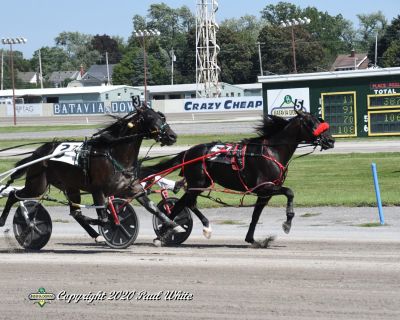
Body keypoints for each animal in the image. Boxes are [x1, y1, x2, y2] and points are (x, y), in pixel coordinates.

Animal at [0, 104, 184, 244]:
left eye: (162, 117)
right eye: (151, 118)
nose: (172, 136)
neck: (114, 154)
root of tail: (37, 153)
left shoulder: (132, 189)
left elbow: (152, 207)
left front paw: (174, 225)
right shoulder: (98, 190)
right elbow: (103, 218)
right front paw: (109, 223)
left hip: (70, 187)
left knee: (75, 213)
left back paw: (95, 235)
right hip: (37, 184)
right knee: (14, 195)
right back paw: (5, 220)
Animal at [141, 110, 334, 248]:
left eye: (320, 120)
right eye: (311, 123)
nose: (330, 141)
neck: (271, 151)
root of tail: (188, 152)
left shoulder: (264, 194)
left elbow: (256, 216)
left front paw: (253, 240)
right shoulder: (264, 187)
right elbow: (290, 192)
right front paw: (287, 223)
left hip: (200, 184)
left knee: (189, 203)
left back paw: (200, 227)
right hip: (197, 183)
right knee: (181, 204)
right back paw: (164, 233)